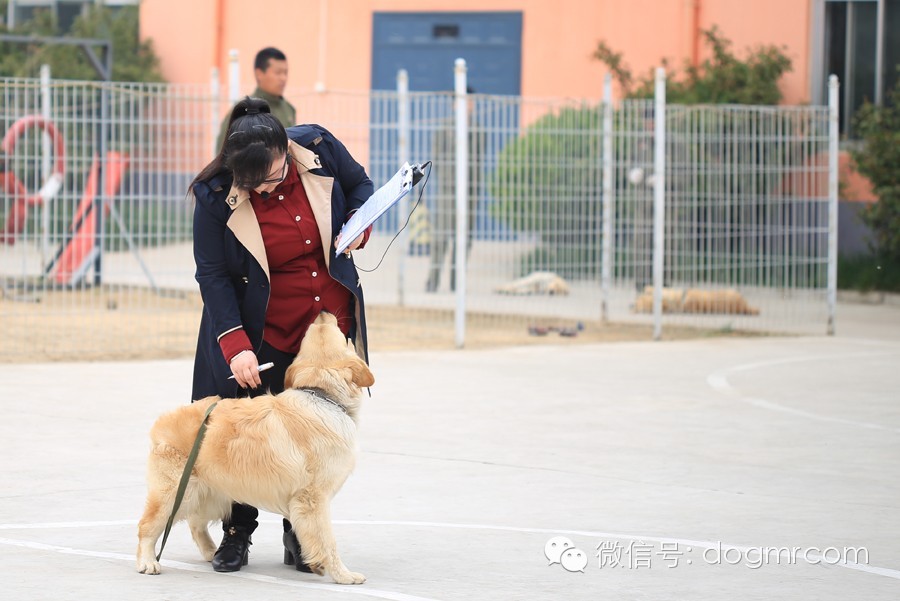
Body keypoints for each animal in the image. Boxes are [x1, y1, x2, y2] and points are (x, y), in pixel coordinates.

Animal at [135, 312, 374, 584]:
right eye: (333, 332)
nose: (323, 313)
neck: (320, 395)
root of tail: (162, 422)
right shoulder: (314, 499)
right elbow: (327, 541)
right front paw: (343, 575)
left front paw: (313, 562)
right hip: (175, 494)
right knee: (146, 526)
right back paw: (147, 561)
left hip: (210, 493)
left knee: (195, 523)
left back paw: (211, 552)